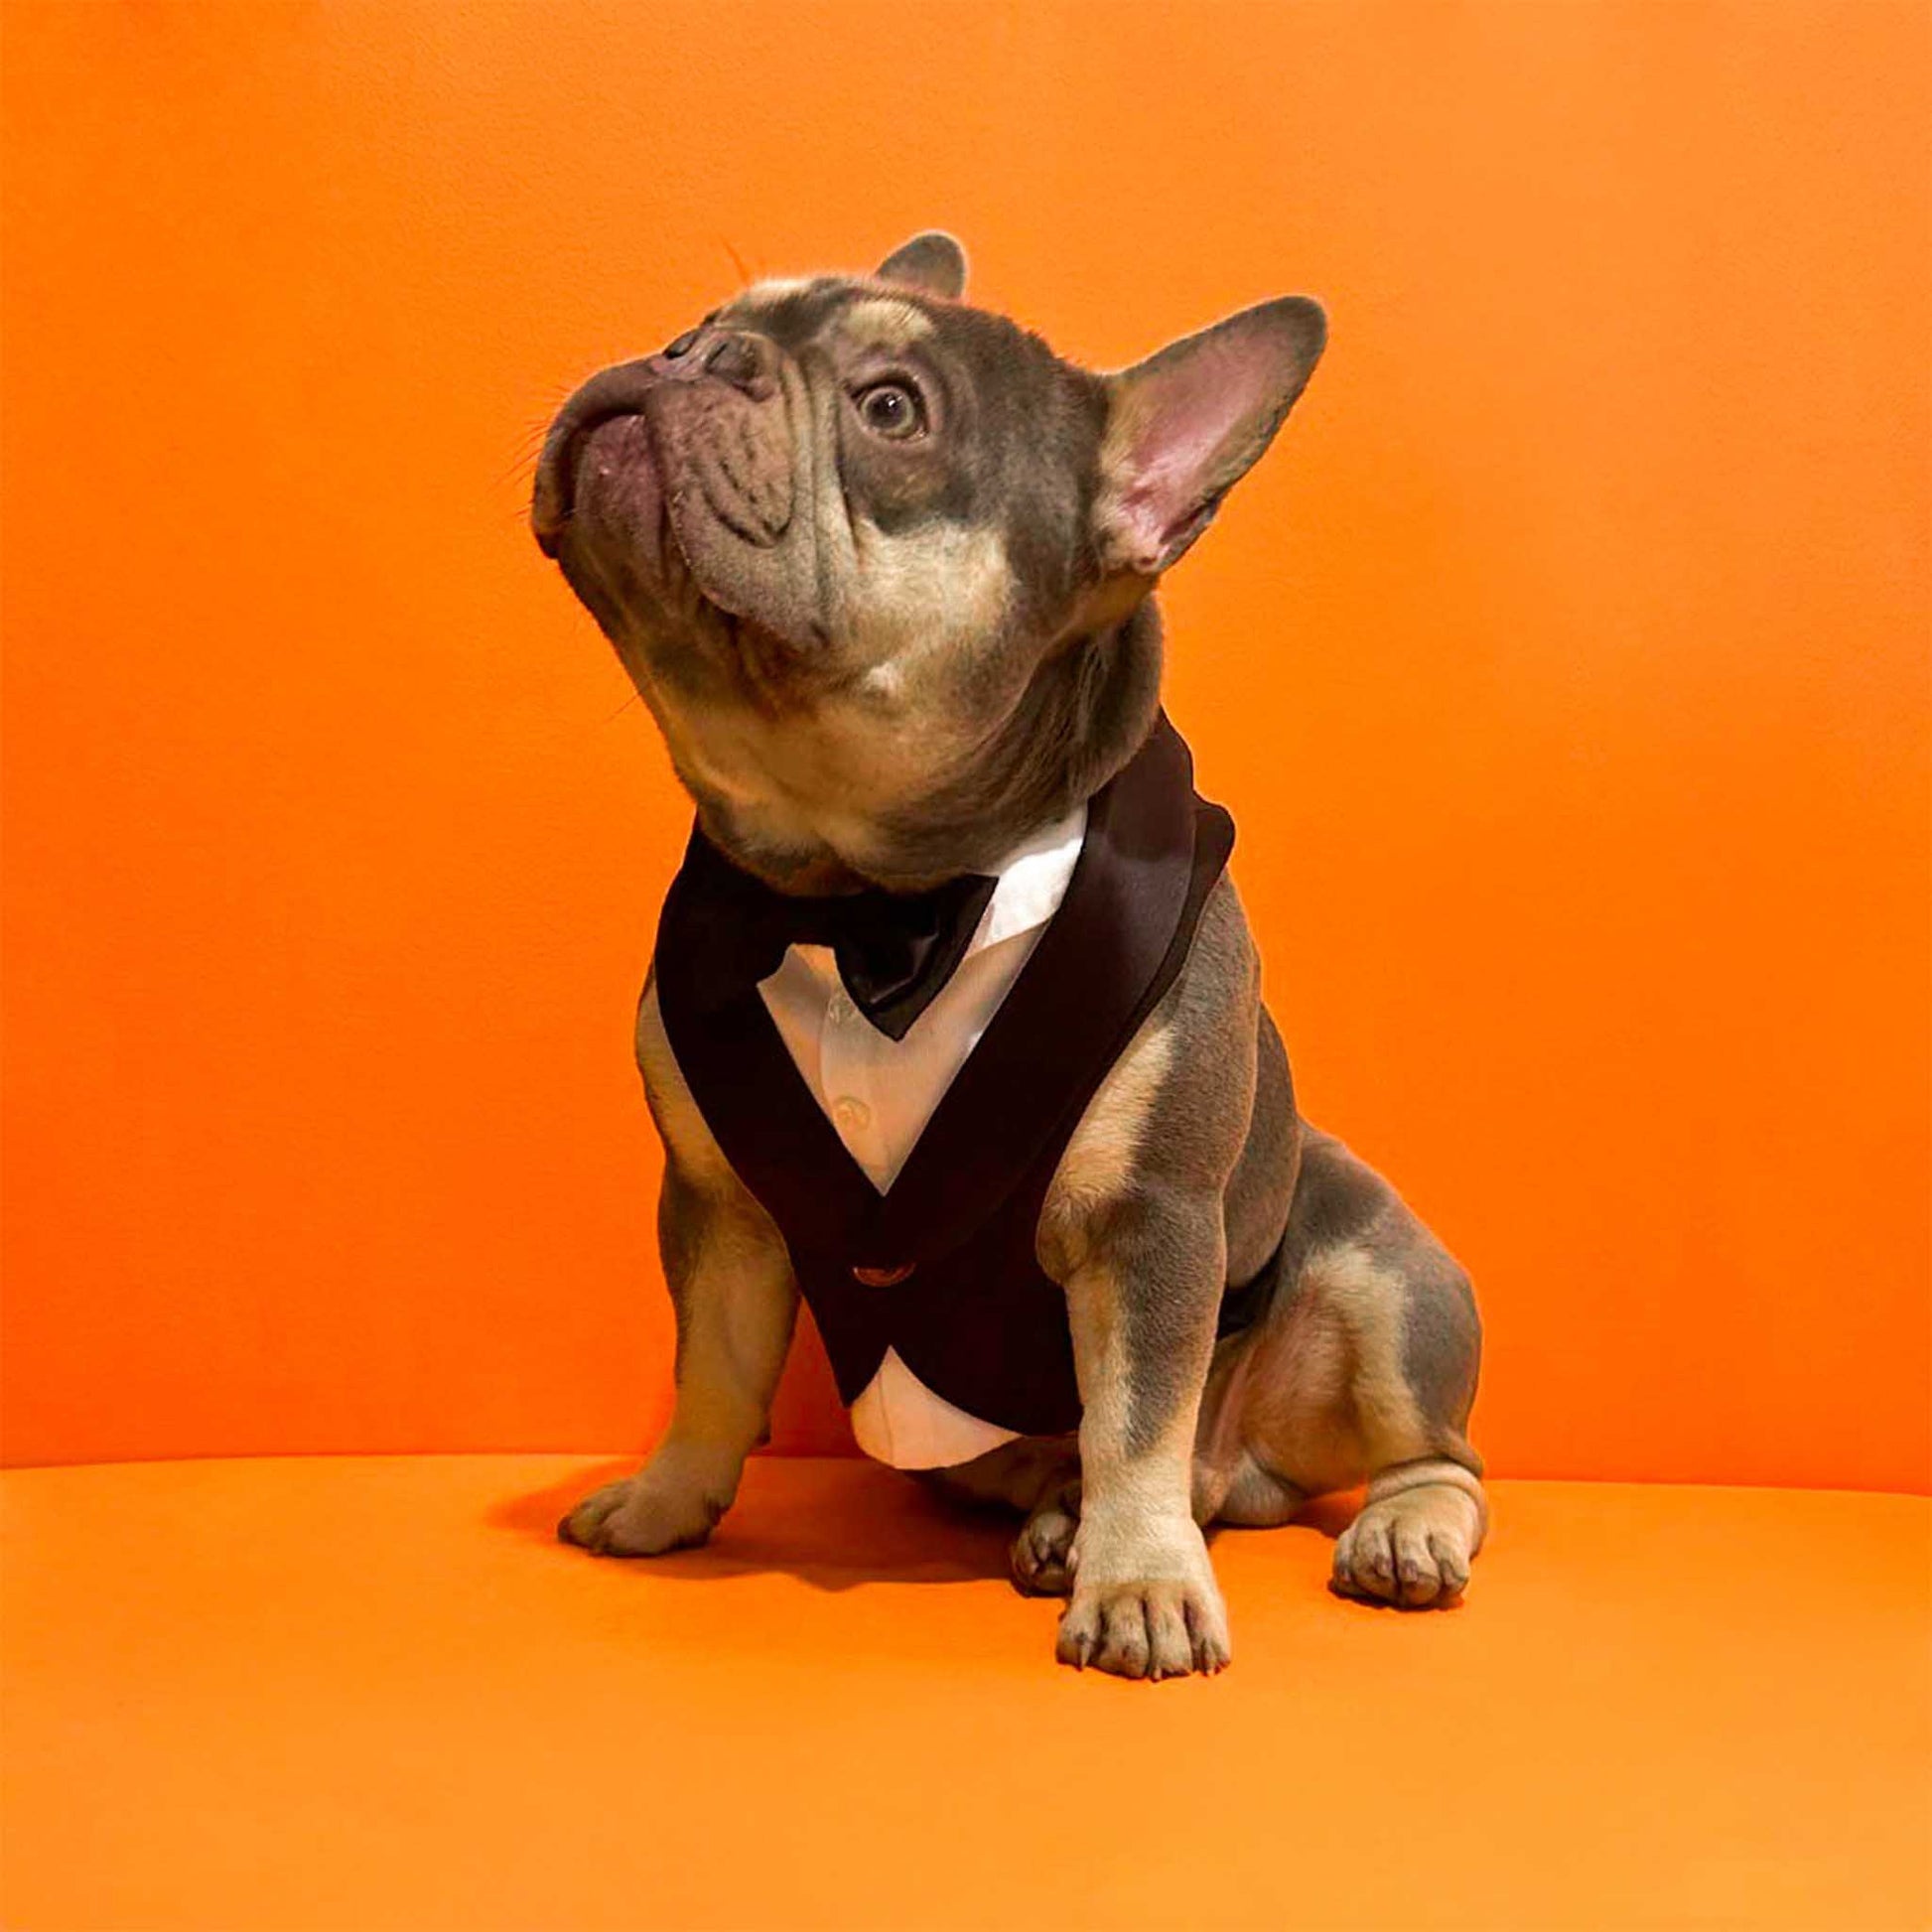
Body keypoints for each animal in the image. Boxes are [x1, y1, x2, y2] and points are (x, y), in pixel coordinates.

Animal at [529, 229, 1475, 1677]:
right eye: (697, 324)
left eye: (890, 409)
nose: (693, 357)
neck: (866, 894)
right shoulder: (718, 1207)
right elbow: (713, 1368)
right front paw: (666, 1494)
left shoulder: (1149, 1222)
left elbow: (1136, 1411)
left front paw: (1138, 1581)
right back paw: (1052, 1522)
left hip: (1379, 1277)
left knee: (1405, 1451)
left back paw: (1386, 1529)